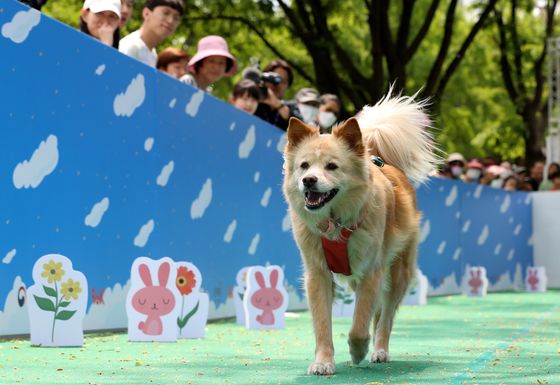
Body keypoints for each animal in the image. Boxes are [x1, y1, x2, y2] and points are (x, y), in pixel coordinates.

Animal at [284, 91, 438, 374]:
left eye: (332, 166)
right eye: (304, 165)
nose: (308, 180)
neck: (335, 222)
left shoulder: (370, 272)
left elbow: (359, 324)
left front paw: (358, 350)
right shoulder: (318, 274)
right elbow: (323, 324)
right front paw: (323, 362)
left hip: (398, 273)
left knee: (385, 317)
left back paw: (379, 350)